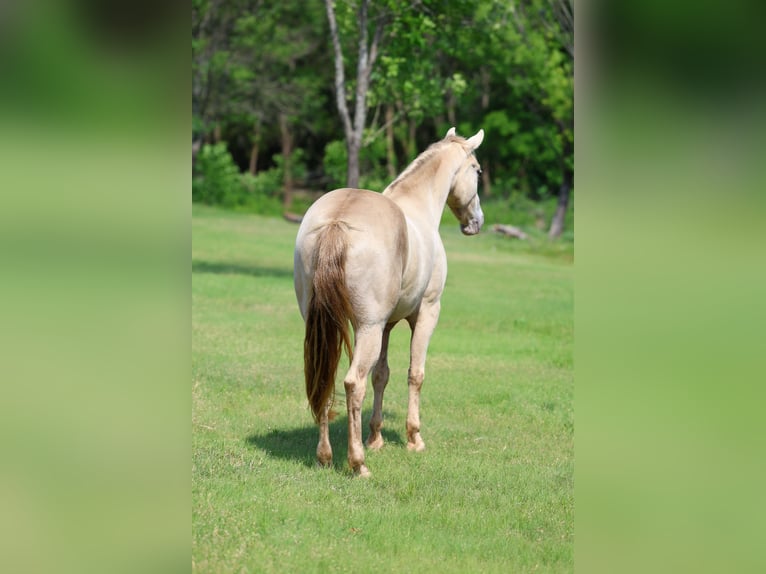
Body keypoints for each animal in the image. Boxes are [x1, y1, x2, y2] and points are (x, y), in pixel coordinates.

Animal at [293, 127, 485, 477]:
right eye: (477, 170)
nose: (475, 222)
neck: (418, 207)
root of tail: (337, 221)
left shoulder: (387, 324)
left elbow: (381, 374)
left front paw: (375, 437)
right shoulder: (425, 314)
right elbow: (415, 373)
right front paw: (414, 438)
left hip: (327, 327)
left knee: (326, 378)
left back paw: (325, 457)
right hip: (366, 329)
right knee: (353, 384)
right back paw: (357, 464)